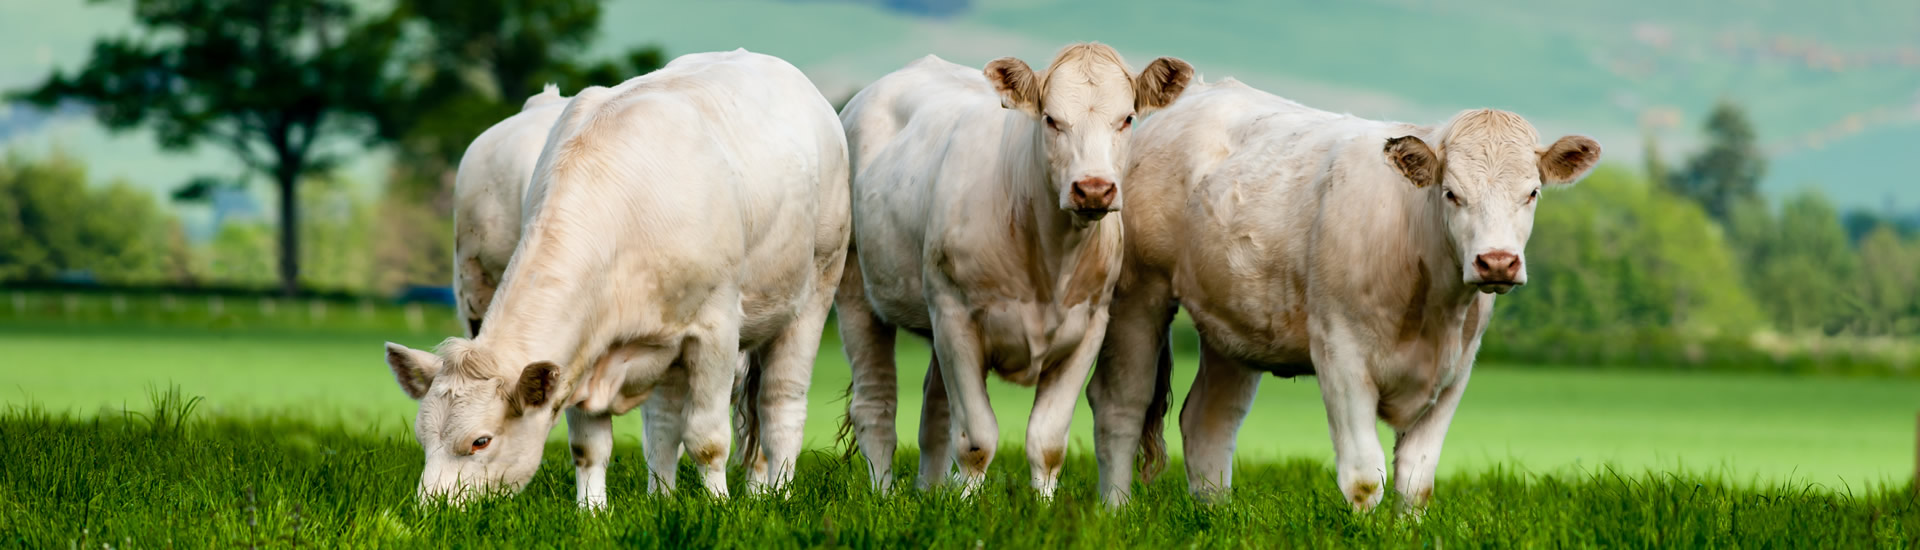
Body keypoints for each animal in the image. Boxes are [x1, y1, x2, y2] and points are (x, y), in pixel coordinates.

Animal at [844, 45, 1190, 496]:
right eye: (1051, 119)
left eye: (1127, 118)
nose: (1093, 188)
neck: (1049, 262)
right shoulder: (956, 319)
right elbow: (976, 440)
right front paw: (967, 506)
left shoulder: (1089, 327)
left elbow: (1047, 442)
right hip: (856, 290)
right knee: (876, 405)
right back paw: (883, 495)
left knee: (934, 412)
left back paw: (929, 493)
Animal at [1090, 78, 1597, 511]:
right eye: (1452, 193)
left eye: (1531, 193)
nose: (1496, 261)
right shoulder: (1342, 356)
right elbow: (1365, 477)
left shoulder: (1456, 370)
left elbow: (1416, 481)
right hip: (1139, 294)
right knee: (1121, 406)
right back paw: (1117, 511)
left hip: (1233, 325)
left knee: (1208, 421)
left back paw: (1216, 517)